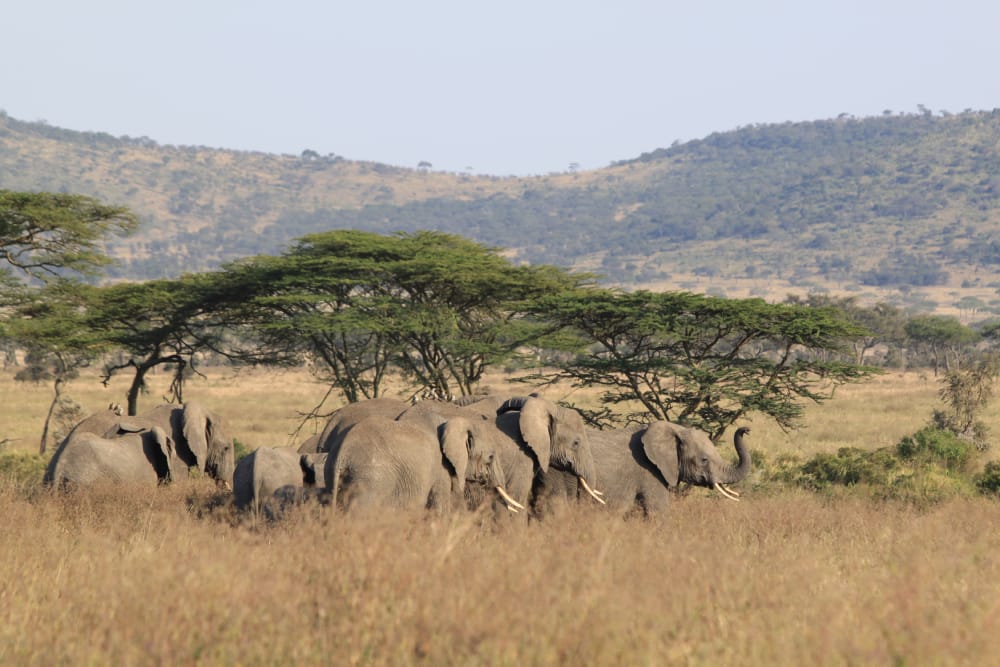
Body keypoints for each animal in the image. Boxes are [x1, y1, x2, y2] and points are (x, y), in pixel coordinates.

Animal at [540, 426, 752, 520]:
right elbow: (659, 513)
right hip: (558, 472)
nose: (745, 430)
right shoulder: (650, 472)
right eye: (704, 460)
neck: (674, 428)